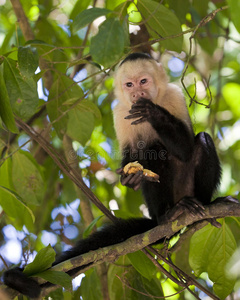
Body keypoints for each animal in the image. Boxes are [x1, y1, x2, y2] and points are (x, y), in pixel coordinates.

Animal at [3, 52, 229, 298]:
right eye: (129, 84)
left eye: (143, 81)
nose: (137, 94)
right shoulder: (120, 112)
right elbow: (132, 153)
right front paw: (130, 178)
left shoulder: (174, 95)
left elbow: (186, 147)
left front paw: (151, 112)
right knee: (153, 152)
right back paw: (168, 215)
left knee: (197, 141)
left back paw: (204, 206)